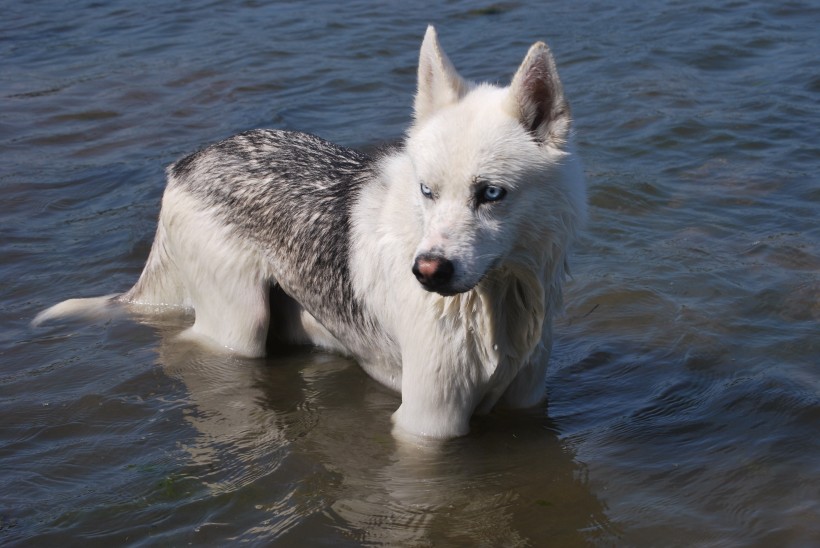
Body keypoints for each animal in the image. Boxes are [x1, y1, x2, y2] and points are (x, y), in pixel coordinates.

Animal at [35, 26, 588, 440]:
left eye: (490, 193)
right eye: (427, 191)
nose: (426, 272)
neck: (497, 304)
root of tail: (187, 161)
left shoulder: (528, 404)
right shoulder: (427, 424)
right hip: (239, 328)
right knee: (187, 341)